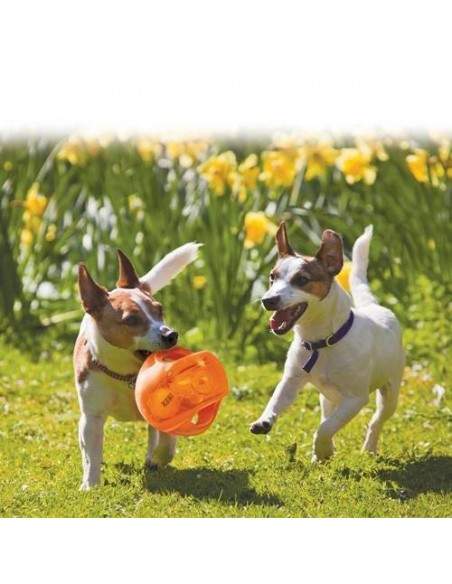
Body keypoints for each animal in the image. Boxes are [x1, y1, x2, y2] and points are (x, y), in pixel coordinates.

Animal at [73, 242, 199, 488]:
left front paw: (158, 457)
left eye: (160, 310)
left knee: (154, 434)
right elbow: (91, 455)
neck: (127, 374)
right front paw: (90, 484)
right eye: (131, 320)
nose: (171, 334)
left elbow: (167, 442)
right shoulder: (92, 417)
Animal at [251, 224, 406, 460]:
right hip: (328, 398)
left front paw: (322, 449)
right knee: (328, 413)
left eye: (302, 280)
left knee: (376, 421)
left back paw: (369, 447)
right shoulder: (291, 381)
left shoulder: (355, 399)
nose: (267, 300)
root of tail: (373, 306)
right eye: (272, 277)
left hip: (390, 394)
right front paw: (265, 420)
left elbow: (325, 428)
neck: (322, 342)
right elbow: (277, 400)